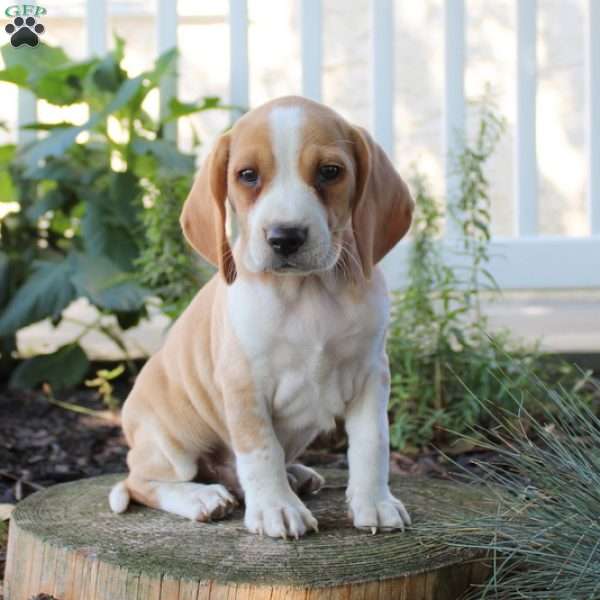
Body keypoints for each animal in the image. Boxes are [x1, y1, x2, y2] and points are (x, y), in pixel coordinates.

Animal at [109, 95, 412, 540]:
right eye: (247, 175)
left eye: (330, 172)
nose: (285, 237)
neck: (307, 293)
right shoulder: (244, 383)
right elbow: (260, 450)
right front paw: (276, 509)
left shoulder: (372, 374)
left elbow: (373, 442)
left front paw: (374, 502)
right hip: (170, 442)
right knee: (141, 482)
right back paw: (200, 497)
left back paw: (295, 475)